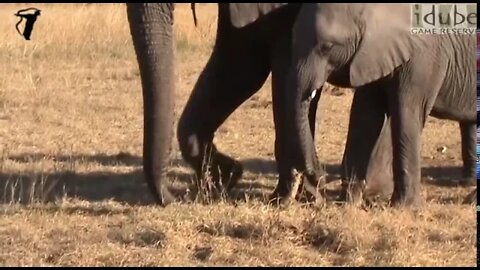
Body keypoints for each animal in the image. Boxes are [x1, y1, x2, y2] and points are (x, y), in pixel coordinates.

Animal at [284, 3, 474, 207]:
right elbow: (364, 116)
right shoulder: (371, 55)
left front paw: (404, 207)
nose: (320, 177)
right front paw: (348, 203)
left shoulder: (424, 57)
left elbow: (406, 114)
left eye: (327, 47)